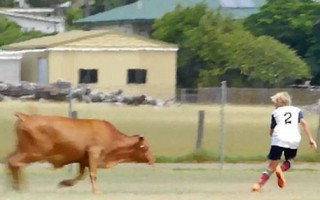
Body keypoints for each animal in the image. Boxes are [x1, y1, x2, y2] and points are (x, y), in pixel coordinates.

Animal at [5, 111, 154, 193]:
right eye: (145, 147)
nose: (153, 160)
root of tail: (27, 117)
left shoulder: (83, 159)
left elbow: (81, 176)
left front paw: (64, 183)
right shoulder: (94, 153)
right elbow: (93, 174)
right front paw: (97, 191)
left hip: (22, 150)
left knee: (11, 162)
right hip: (33, 153)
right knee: (15, 163)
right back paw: (19, 187)